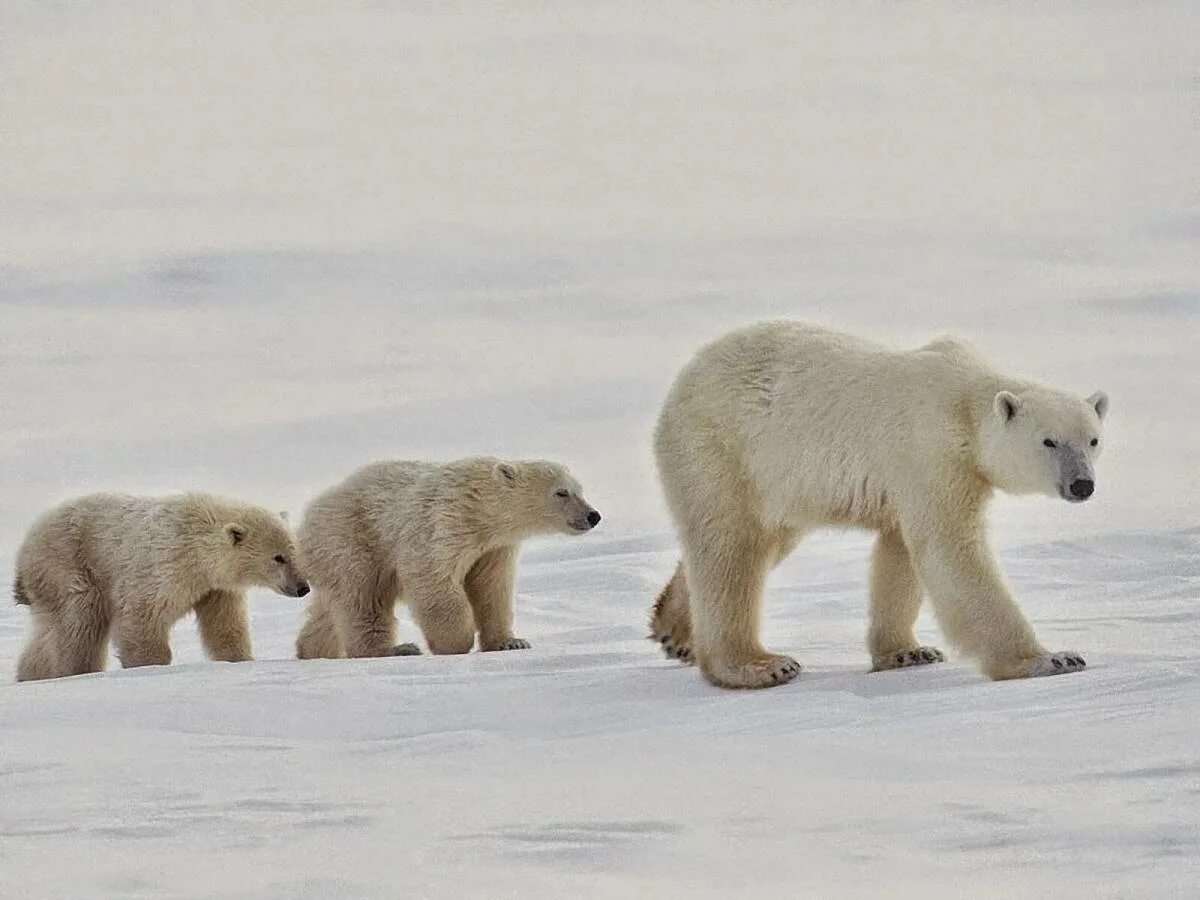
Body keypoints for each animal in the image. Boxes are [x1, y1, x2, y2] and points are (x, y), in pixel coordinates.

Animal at [16, 494, 307, 681]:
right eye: (278, 557)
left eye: (294, 551)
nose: (302, 587)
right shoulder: (164, 565)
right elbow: (141, 614)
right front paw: (149, 665)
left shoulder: (215, 588)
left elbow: (224, 624)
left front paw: (240, 659)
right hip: (68, 563)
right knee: (80, 619)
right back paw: (74, 669)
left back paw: (31, 673)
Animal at [295, 460, 604, 657]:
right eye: (561, 492)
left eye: (580, 489)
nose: (593, 515)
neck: (479, 506)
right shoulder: (444, 523)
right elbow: (432, 576)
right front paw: (454, 642)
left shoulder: (495, 549)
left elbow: (492, 588)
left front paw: (511, 642)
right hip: (353, 538)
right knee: (364, 597)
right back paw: (395, 649)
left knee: (329, 609)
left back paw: (312, 650)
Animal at [652, 321, 1108, 691]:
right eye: (1049, 441)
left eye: (1092, 439)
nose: (1082, 484)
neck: (964, 401)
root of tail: (683, 380)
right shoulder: (931, 451)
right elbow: (951, 550)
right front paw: (1053, 658)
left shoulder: (915, 477)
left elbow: (901, 552)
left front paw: (907, 652)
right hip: (723, 448)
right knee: (731, 549)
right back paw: (760, 665)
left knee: (762, 541)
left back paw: (675, 630)